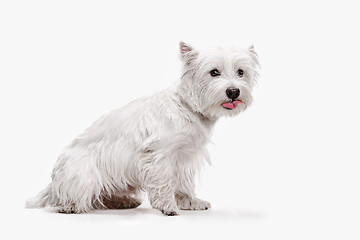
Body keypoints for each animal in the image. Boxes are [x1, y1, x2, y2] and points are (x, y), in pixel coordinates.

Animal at [27, 41, 258, 216]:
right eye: (214, 72)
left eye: (241, 72)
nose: (233, 92)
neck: (188, 107)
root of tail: (54, 182)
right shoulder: (161, 155)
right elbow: (164, 182)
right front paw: (168, 207)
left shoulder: (186, 157)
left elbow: (184, 183)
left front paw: (191, 202)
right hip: (84, 174)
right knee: (74, 198)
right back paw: (71, 206)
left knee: (102, 196)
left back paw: (124, 201)